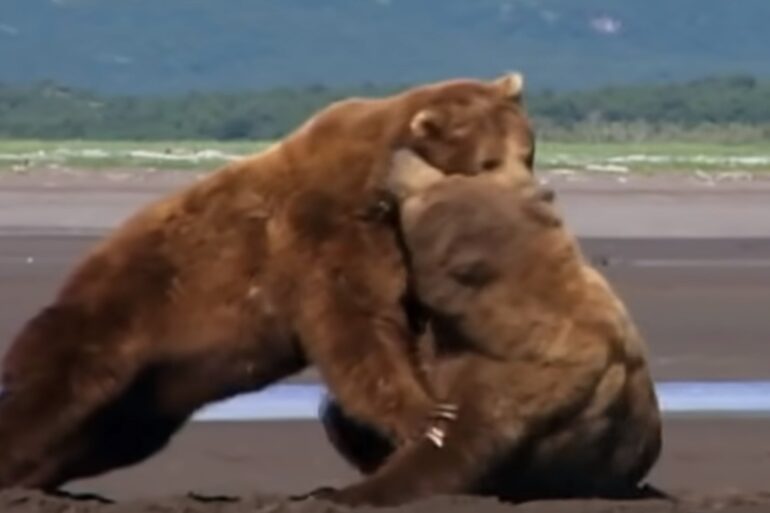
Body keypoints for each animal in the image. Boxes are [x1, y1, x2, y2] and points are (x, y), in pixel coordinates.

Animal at [0, 73, 537, 491]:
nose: (533, 195)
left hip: (146, 399)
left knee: (102, 440)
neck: (384, 188)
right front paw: (431, 417)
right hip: (110, 322)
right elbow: (358, 328)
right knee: (48, 397)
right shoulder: (326, 235)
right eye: (488, 162)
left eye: (526, 153)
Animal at [314, 150, 663, 506]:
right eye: (458, 175)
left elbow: (446, 449)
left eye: (431, 186)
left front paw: (341, 494)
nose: (401, 154)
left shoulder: (519, 380)